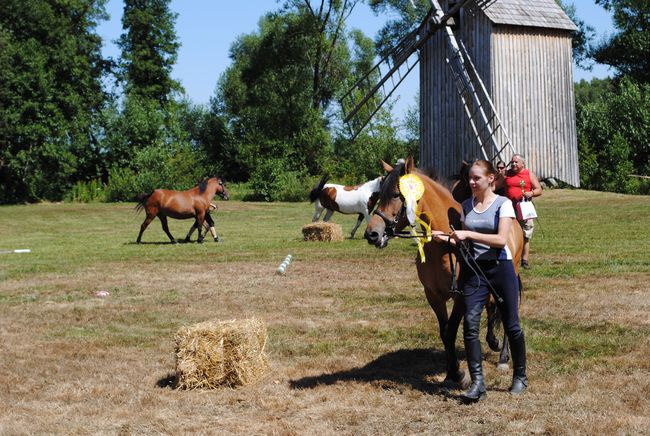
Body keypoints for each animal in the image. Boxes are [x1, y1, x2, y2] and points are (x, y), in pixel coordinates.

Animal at [362, 158, 524, 386]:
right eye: (380, 194)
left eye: (395, 194)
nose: (372, 234)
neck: (445, 245)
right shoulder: (433, 295)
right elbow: (444, 331)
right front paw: (452, 373)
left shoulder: (462, 296)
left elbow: (451, 330)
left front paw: (458, 375)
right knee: (492, 307)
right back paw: (493, 341)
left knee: (507, 310)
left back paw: (503, 358)